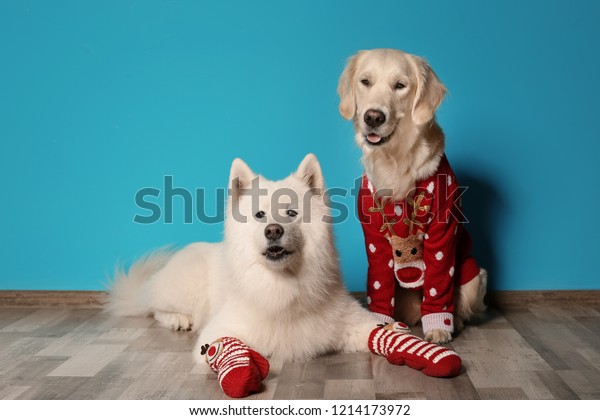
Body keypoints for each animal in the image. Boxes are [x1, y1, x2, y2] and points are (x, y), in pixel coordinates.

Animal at [106, 153, 380, 362]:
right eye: (259, 215)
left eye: (291, 213)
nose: (273, 230)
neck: (283, 285)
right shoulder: (221, 329)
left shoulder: (355, 322)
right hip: (186, 289)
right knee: (154, 307)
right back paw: (178, 319)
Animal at [338, 49, 488, 344]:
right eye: (365, 82)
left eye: (400, 85)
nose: (373, 117)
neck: (395, 160)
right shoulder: (374, 240)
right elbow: (379, 285)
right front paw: (379, 324)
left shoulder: (442, 232)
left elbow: (439, 285)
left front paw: (439, 328)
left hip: (475, 275)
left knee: (462, 307)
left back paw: (453, 321)